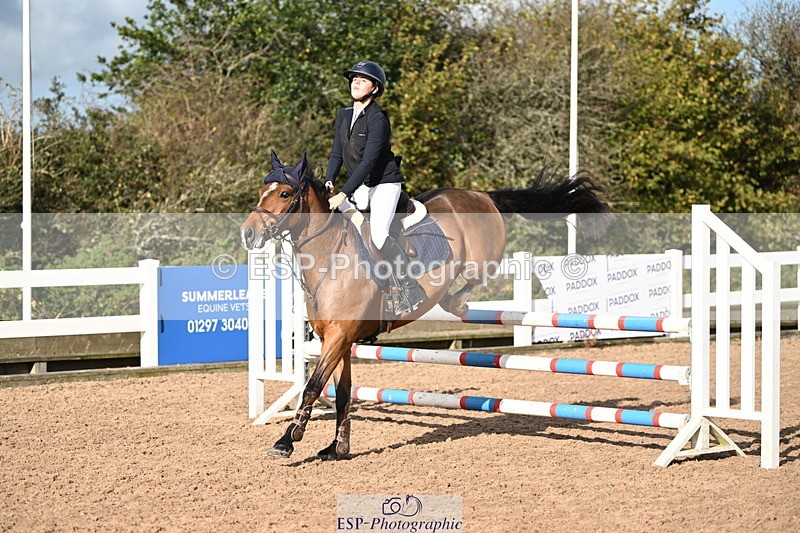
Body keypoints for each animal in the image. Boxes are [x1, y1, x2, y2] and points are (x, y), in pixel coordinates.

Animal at [240, 151, 611, 460]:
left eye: (285, 194)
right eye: (261, 191)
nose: (248, 234)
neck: (330, 256)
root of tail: (482, 195)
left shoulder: (338, 338)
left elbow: (313, 385)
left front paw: (287, 440)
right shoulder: (339, 341)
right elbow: (343, 393)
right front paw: (337, 448)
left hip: (482, 257)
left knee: (475, 276)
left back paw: (455, 301)